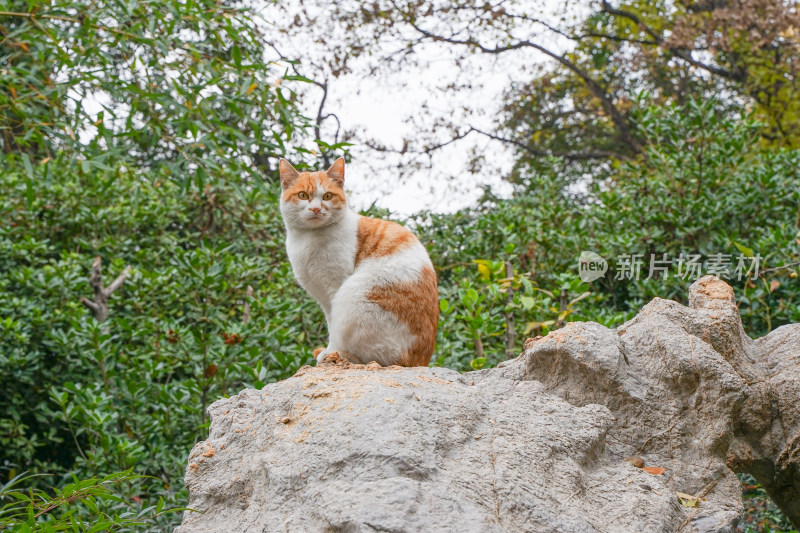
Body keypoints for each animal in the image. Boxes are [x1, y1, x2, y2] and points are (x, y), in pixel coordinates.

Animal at [276, 157, 438, 366]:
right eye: (303, 195)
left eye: (327, 196)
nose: (316, 209)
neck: (307, 239)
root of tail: (419, 361)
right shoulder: (323, 298)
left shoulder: (334, 289)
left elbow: (332, 328)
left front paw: (330, 350)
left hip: (354, 296)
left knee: (379, 358)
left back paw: (341, 355)